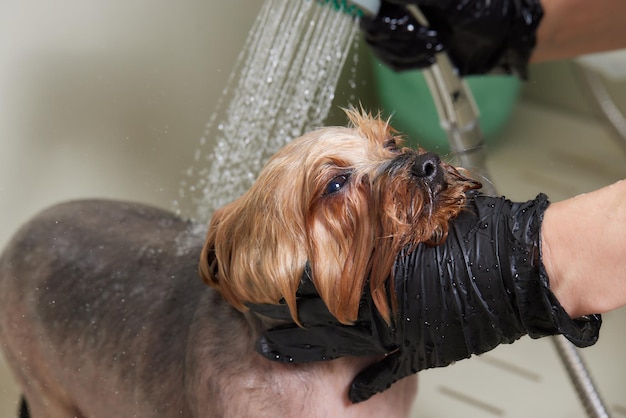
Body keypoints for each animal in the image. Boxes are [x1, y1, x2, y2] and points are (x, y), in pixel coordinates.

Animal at [0, 109, 478, 416]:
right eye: (335, 184)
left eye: (390, 142)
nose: (429, 165)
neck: (329, 364)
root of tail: (19, 235)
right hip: (46, 390)